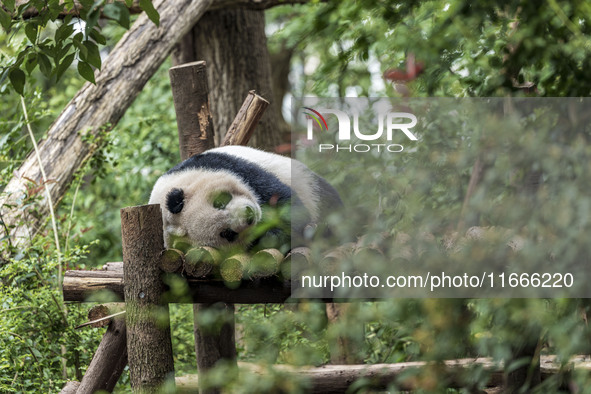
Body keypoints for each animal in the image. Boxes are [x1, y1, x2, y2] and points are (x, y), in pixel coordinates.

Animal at [149, 145, 342, 252]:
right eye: (227, 234)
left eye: (219, 202)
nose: (249, 215)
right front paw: (274, 234)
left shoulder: (221, 165)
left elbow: (285, 202)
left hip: (309, 184)